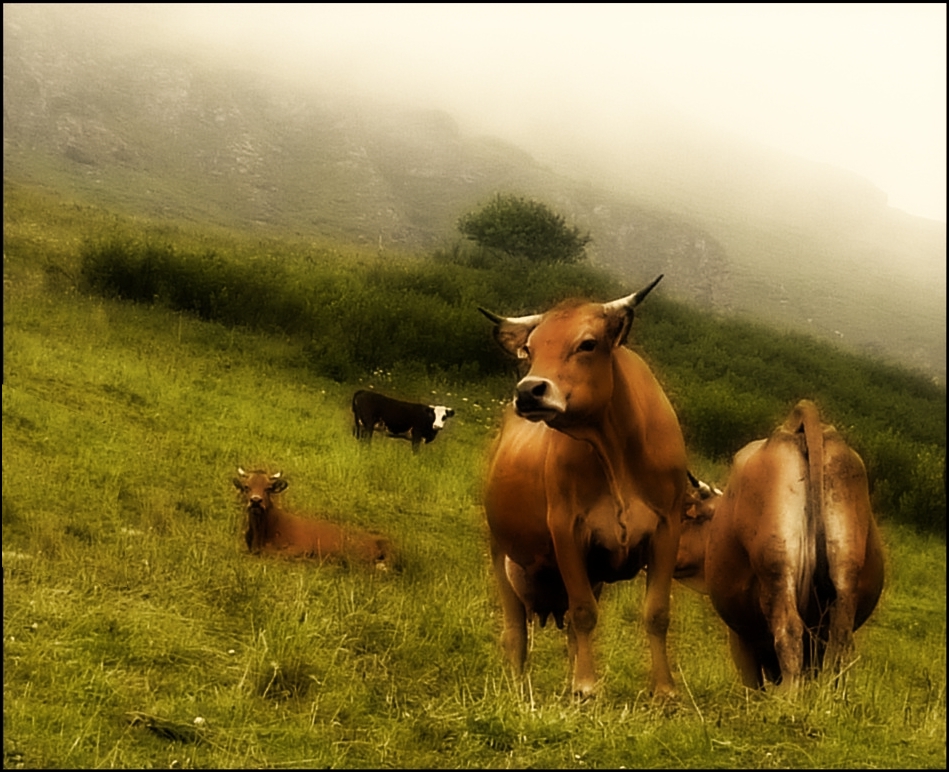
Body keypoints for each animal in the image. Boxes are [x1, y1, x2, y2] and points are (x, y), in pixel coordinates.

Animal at [478, 274, 684, 696]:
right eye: (530, 349)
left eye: (587, 344)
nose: (528, 391)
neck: (616, 451)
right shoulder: (566, 528)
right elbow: (584, 612)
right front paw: (587, 686)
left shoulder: (667, 527)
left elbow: (656, 614)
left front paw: (665, 690)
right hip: (501, 553)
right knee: (516, 631)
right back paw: (519, 687)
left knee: (569, 629)